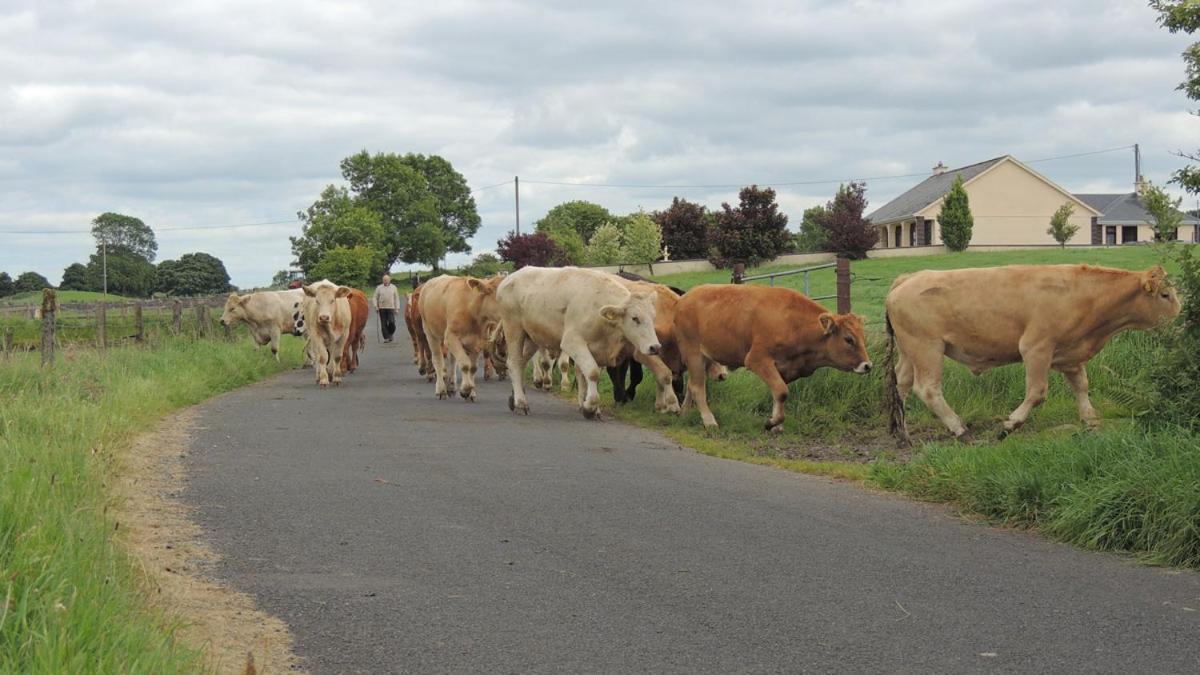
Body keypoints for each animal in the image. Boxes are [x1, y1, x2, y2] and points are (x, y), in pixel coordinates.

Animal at [492, 265, 672, 417]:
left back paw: (515, 397)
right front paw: (589, 407)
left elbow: (586, 376)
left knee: (521, 363)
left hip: (532, 338)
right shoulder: (572, 342)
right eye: (635, 318)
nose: (655, 347)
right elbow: (592, 373)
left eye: (653, 317)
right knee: (514, 363)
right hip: (514, 329)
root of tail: (510, 277)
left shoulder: (601, 349)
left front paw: (592, 407)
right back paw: (521, 403)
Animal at [676, 281, 873, 427]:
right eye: (849, 339)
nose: (867, 365)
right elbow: (782, 391)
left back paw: (684, 413)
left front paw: (776, 423)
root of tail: (685, 298)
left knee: (692, 384)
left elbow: (779, 394)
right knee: (698, 387)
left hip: (703, 358)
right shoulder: (757, 359)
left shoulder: (784, 369)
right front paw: (772, 423)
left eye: (863, 337)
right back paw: (709, 421)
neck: (793, 323)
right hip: (693, 353)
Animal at [883, 260, 1180, 439]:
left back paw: (902, 430)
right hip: (927, 347)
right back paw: (958, 428)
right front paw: (1011, 423)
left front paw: (1090, 420)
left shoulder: (1071, 352)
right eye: (1165, 295)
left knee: (901, 385)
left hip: (910, 351)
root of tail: (909, 278)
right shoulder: (1036, 347)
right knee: (928, 389)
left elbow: (1082, 386)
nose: (1181, 320)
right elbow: (1037, 392)